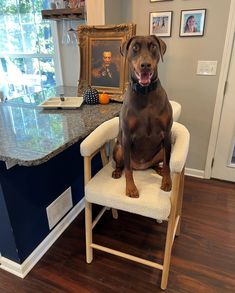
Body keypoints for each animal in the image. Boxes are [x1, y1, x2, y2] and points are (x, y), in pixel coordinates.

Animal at [112, 35, 173, 197]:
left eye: (153, 47)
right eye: (135, 47)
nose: (145, 65)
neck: (145, 92)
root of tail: (140, 167)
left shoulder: (167, 134)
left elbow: (168, 163)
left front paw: (167, 182)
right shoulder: (127, 136)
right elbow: (128, 169)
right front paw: (131, 188)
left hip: (162, 149)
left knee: (158, 163)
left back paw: (159, 170)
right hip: (119, 148)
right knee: (123, 165)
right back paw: (117, 171)